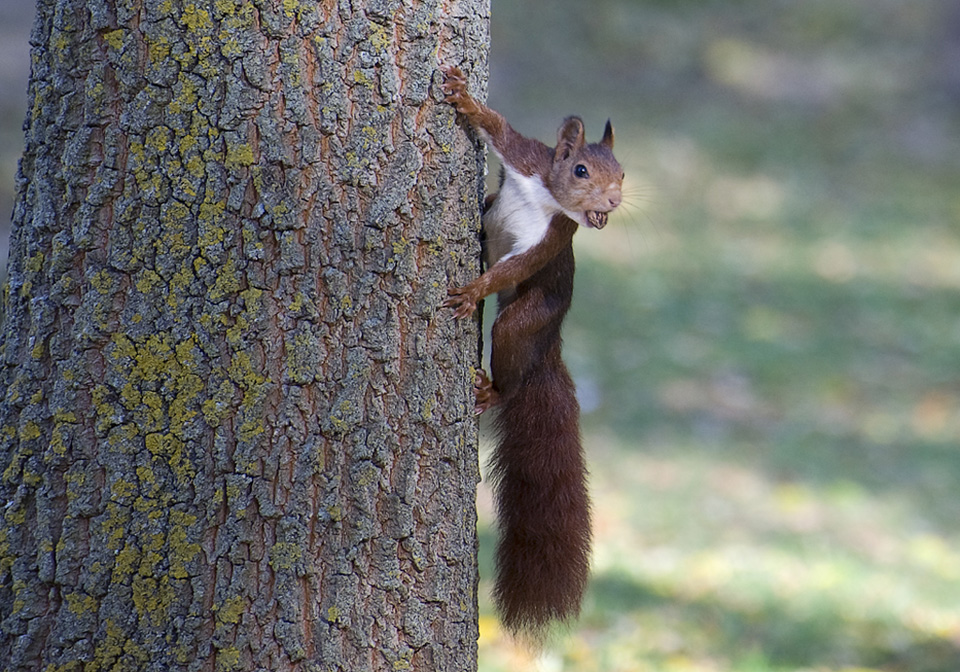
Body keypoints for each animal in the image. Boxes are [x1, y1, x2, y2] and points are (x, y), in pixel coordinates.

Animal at [440, 65, 628, 636]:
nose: (611, 203)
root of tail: (550, 344)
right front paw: (465, 99)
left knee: (509, 354)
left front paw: (472, 292)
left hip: (523, 320)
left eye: (624, 174)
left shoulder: (549, 241)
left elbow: (512, 268)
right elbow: (499, 129)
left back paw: (495, 391)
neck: (549, 200)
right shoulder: (525, 161)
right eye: (582, 169)